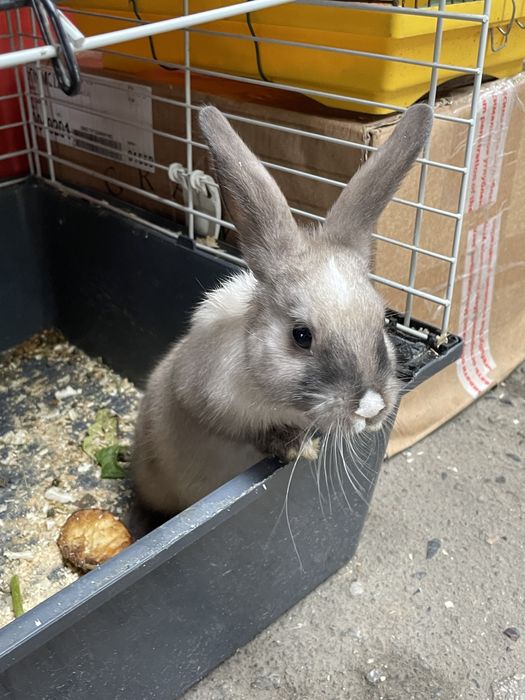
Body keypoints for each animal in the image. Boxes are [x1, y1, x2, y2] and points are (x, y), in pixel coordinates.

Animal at [130, 103, 433, 518]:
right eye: (301, 336)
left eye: (384, 321)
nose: (371, 408)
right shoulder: (205, 400)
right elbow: (249, 431)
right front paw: (299, 448)